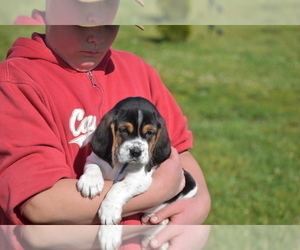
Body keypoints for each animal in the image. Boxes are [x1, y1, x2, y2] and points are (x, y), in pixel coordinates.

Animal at [77, 96, 197, 225]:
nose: (136, 152)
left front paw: (109, 211)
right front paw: (90, 183)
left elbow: (118, 188)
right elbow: (94, 167)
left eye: (150, 133)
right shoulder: (93, 159)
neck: (119, 163)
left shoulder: (138, 178)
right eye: (124, 130)